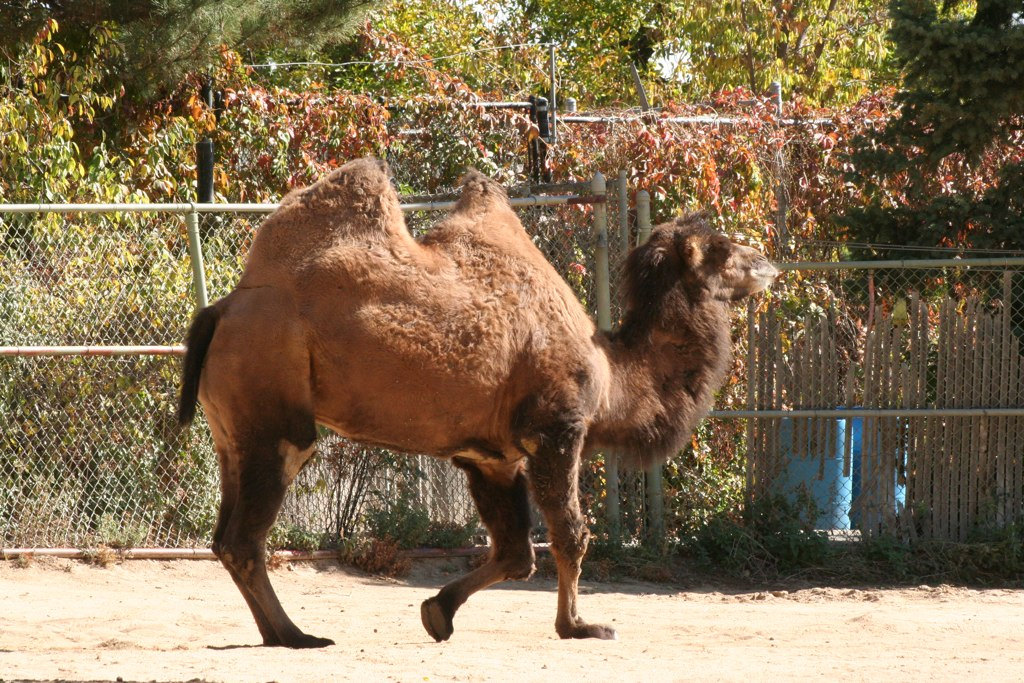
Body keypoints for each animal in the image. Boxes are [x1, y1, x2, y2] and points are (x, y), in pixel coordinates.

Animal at [177, 157, 778, 647]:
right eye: (723, 251)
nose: (769, 261)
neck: (610, 375)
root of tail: (221, 310)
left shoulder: (491, 457)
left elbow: (515, 554)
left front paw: (437, 612)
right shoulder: (556, 430)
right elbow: (570, 535)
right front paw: (579, 626)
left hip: (233, 431)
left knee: (225, 537)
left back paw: (278, 633)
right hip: (275, 418)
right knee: (246, 537)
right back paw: (298, 636)